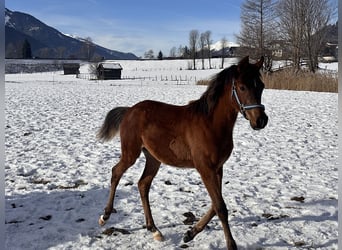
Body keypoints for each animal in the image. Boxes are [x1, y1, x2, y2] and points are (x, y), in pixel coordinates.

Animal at [96, 56, 268, 250]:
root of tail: (129, 110)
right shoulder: (205, 169)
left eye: (261, 86)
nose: (261, 120)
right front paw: (231, 244)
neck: (211, 124)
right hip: (130, 153)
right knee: (116, 172)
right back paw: (105, 216)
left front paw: (190, 233)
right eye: (242, 87)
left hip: (153, 158)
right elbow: (220, 207)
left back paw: (154, 229)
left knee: (143, 184)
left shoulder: (218, 168)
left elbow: (215, 205)